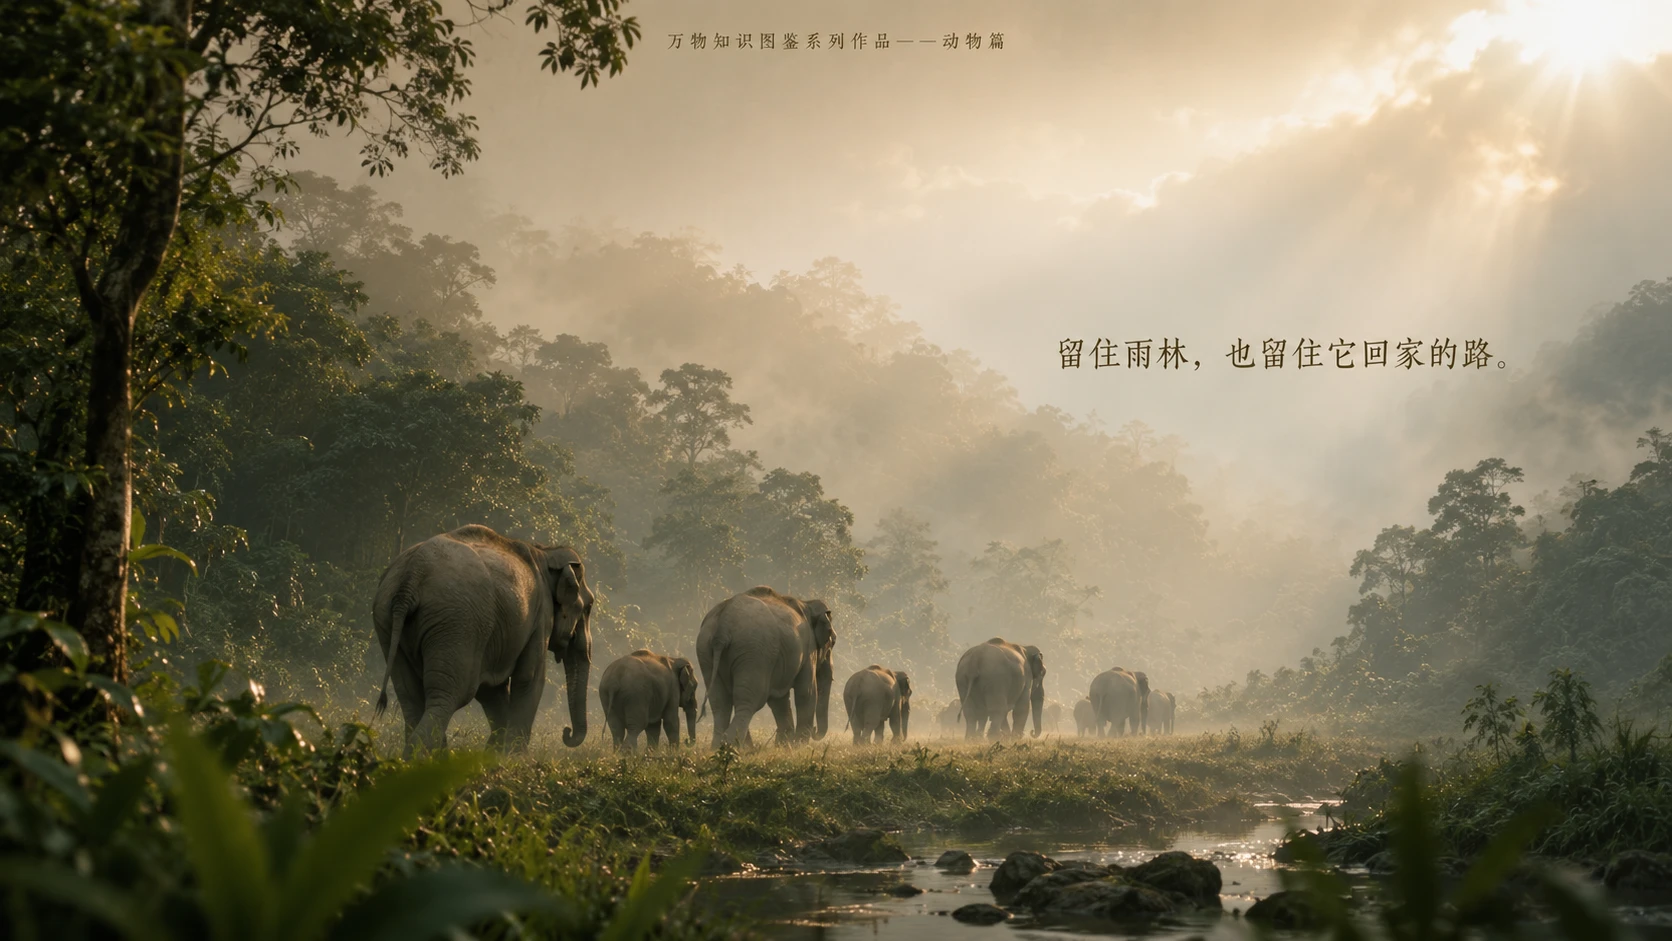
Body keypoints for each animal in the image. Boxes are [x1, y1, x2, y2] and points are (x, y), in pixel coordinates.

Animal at [372, 524, 594, 756]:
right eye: (589, 607)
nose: (566, 732)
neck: (545, 551)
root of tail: (413, 573)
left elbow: (492, 690)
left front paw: (494, 753)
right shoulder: (541, 616)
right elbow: (529, 677)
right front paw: (514, 756)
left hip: (388, 623)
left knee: (410, 696)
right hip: (457, 624)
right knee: (451, 694)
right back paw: (425, 757)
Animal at [696, 586, 836, 746]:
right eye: (833, 641)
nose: (814, 730)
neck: (808, 603)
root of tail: (723, 625)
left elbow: (780, 700)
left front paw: (784, 746)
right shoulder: (808, 650)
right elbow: (806, 692)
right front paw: (797, 745)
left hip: (706, 653)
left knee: (720, 702)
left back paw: (722, 746)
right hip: (753, 652)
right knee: (750, 700)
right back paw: (732, 745)